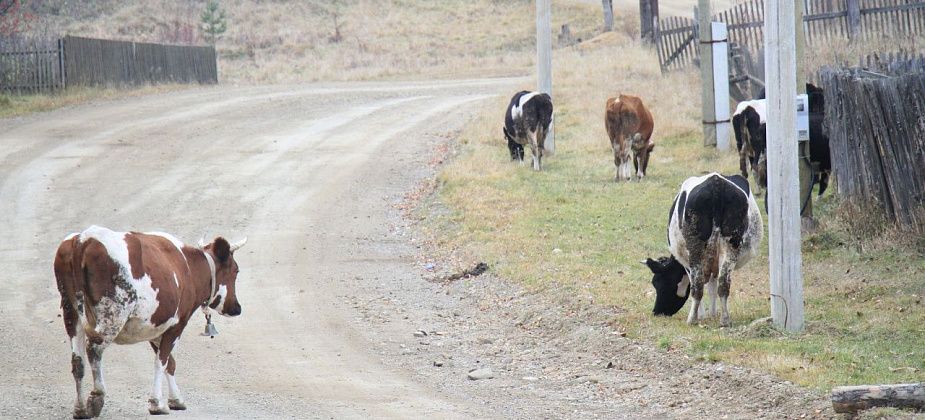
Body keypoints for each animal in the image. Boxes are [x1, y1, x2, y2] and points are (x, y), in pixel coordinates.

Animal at [54, 228, 245, 418]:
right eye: (236, 271)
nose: (237, 307)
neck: (189, 268)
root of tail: (83, 238)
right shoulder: (177, 324)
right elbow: (162, 361)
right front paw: (157, 403)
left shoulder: (156, 326)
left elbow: (170, 363)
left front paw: (176, 400)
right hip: (113, 314)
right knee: (94, 349)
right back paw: (97, 397)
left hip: (71, 311)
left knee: (77, 361)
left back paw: (80, 408)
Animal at [648, 172, 760, 326]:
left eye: (657, 283)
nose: (656, 312)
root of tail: (716, 182)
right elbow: (713, 287)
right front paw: (712, 314)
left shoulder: (686, 263)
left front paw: (702, 315)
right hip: (731, 245)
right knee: (723, 284)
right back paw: (725, 320)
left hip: (695, 247)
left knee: (698, 285)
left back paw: (692, 319)